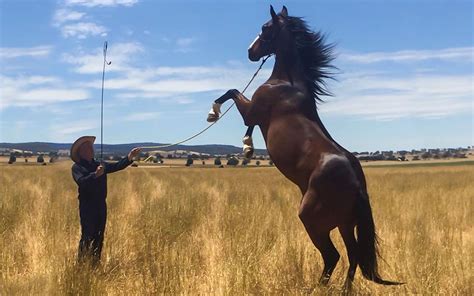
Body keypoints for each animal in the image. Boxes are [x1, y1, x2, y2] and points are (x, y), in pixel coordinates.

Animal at [207, 5, 400, 290]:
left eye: (265, 27)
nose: (251, 52)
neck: (286, 83)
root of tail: (357, 185)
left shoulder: (253, 111)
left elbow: (232, 92)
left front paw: (214, 114)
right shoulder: (255, 116)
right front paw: (247, 147)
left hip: (313, 220)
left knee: (333, 255)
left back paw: (317, 288)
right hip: (345, 223)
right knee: (353, 254)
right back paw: (343, 290)